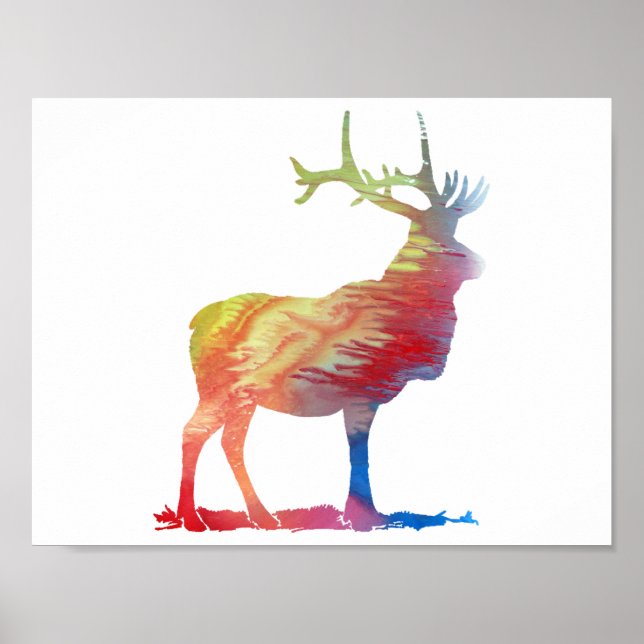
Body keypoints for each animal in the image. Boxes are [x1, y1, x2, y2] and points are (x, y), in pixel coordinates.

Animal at [175, 111, 488, 532]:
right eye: (438, 239)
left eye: (456, 231)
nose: (480, 263)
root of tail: (197, 321)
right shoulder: (359, 392)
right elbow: (359, 454)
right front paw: (363, 517)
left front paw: (365, 514)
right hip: (219, 386)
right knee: (197, 432)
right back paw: (195, 518)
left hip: (241, 395)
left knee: (228, 441)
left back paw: (260, 516)